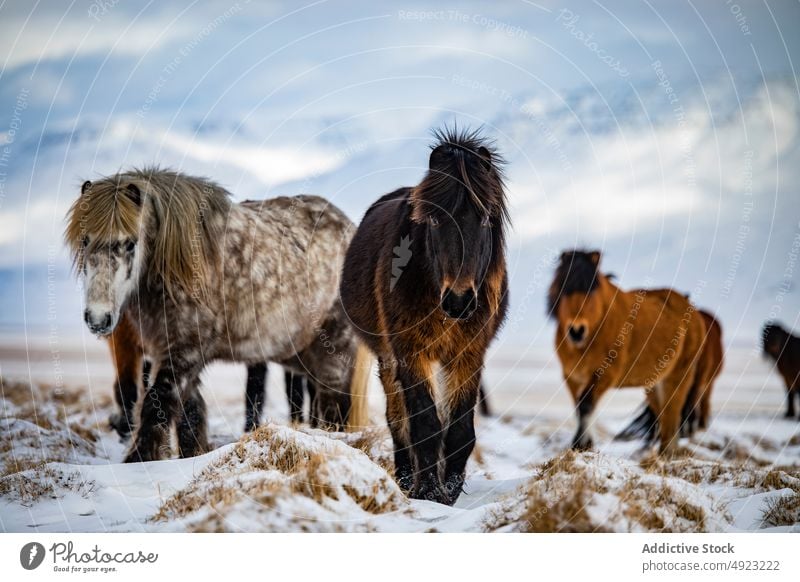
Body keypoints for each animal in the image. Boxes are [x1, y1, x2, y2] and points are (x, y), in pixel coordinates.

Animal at [67, 167, 370, 464]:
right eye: (85, 240)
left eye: (130, 244)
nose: (98, 318)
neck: (179, 265)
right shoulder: (170, 353)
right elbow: (189, 414)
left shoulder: (184, 352)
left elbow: (156, 402)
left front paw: (139, 459)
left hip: (334, 352)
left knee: (334, 405)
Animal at [340, 129, 510, 506]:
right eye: (434, 220)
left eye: (485, 218)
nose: (459, 301)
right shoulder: (410, 353)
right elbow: (425, 424)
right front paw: (428, 491)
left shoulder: (468, 355)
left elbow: (458, 429)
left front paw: (449, 490)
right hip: (388, 359)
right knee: (397, 420)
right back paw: (405, 478)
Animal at [552, 251, 708, 456]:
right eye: (563, 288)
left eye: (592, 291)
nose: (576, 330)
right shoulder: (571, 376)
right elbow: (580, 407)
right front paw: (585, 445)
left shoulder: (605, 374)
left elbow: (586, 405)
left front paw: (579, 445)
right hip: (654, 383)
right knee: (662, 412)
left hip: (679, 374)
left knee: (672, 410)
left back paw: (668, 453)